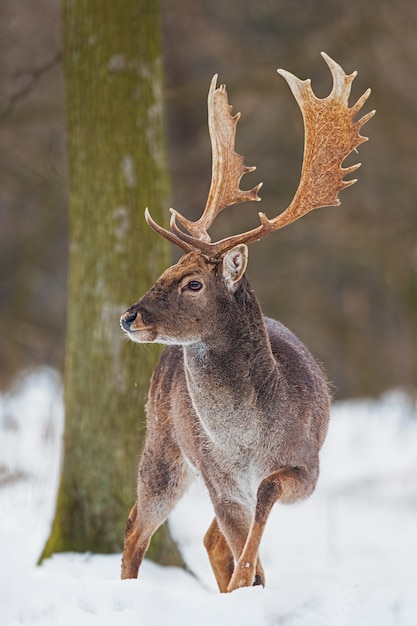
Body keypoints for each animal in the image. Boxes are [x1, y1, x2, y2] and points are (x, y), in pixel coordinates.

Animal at [118, 52, 372, 588]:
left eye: (194, 283)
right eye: (165, 270)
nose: (129, 317)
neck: (247, 441)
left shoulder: (306, 466)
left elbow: (263, 502)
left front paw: (245, 583)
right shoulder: (219, 476)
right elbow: (242, 543)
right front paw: (247, 581)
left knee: (205, 537)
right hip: (164, 442)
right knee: (137, 525)